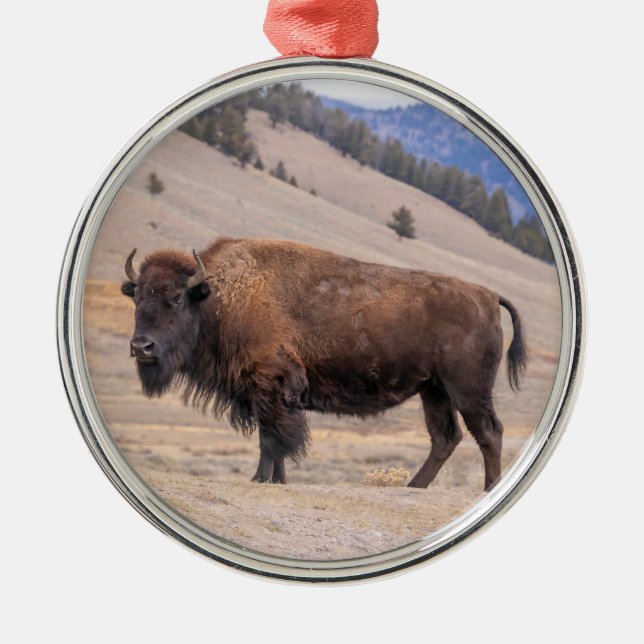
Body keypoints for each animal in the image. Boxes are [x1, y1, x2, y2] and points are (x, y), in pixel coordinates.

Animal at [122, 237, 527, 491]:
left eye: (177, 299)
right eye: (138, 297)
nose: (141, 346)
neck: (221, 297)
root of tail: (488, 296)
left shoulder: (270, 384)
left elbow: (271, 437)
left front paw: (260, 479)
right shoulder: (269, 393)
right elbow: (275, 438)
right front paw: (278, 480)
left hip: (468, 390)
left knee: (488, 432)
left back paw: (487, 489)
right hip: (434, 390)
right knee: (446, 436)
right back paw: (415, 486)